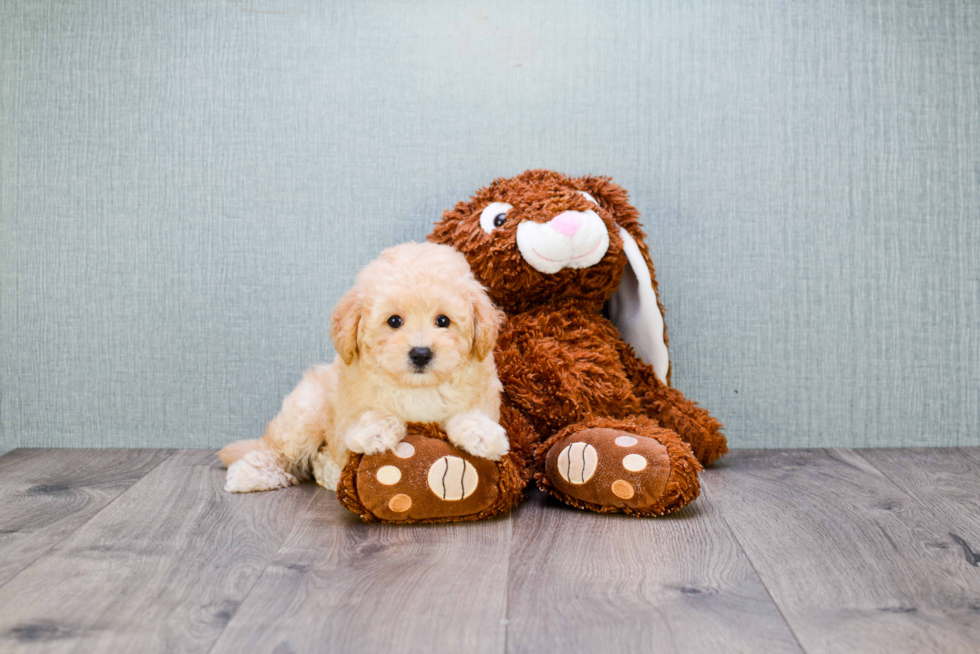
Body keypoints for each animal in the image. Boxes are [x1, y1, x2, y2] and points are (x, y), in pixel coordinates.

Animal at [219, 243, 510, 494]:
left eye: (443, 321)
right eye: (394, 321)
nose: (420, 353)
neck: (416, 387)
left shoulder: (482, 395)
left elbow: (468, 414)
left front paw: (483, 436)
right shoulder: (345, 420)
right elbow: (371, 419)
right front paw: (376, 431)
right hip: (306, 412)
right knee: (279, 450)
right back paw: (250, 474)